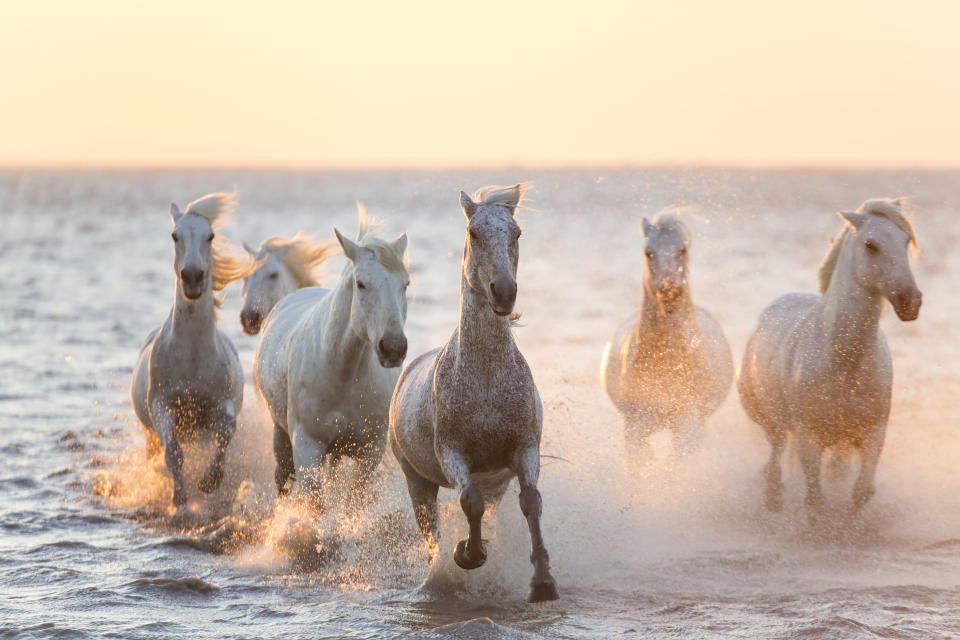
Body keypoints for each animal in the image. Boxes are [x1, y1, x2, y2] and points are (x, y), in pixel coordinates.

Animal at [130, 192, 251, 512]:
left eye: (211, 236)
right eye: (175, 235)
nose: (193, 277)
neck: (193, 359)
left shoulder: (222, 404)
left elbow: (227, 432)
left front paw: (210, 481)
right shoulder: (162, 407)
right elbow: (174, 453)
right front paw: (180, 499)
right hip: (149, 433)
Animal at [253, 205, 406, 504]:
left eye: (405, 284)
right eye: (361, 283)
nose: (393, 348)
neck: (342, 373)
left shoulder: (370, 450)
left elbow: (352, 501)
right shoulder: (306, 446)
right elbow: (315, 502)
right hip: (281, 433)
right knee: (282, 480)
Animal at [388, 182, 560, 604]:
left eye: (516, 233)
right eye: (473, 233)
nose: (504, 292)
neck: (486, 381)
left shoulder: (524, 448)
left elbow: (531, 502)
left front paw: (542, 582)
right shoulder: (452, 452)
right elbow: (469, 502)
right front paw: (466, 554)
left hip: (496, 482)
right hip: (416, 479)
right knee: (429, 527)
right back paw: (442, 573)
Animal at [600, 212, 736, 458]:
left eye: (682, 249)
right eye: (648, 252)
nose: (670, 290)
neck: (664, 361)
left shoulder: (687, 421)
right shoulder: (635, 423)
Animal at [736, 199, 924, 516]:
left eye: (906, 240)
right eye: (870, 244)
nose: (910, 302)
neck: (845, 362)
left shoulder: (873, 435)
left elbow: (861, 490)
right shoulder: (809, 438)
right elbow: (815, 498)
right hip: (772, 423)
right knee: (775, 457)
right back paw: (773, 500)